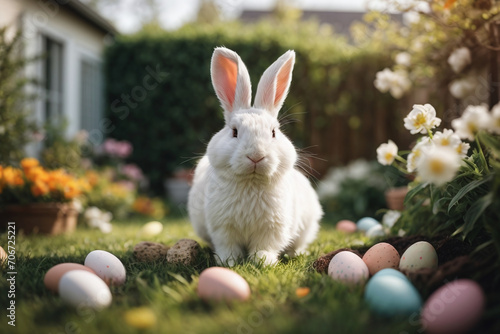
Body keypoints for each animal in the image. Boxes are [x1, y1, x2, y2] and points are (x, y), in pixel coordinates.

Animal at [188, 47, 324, 266]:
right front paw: (228, 263)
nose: (256, 156)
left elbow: (265, 246)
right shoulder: (223, 229)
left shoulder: (272, 228)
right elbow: (228, 247)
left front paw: (263, 261)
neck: (251, 182)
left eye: (274, 132)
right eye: (234, 132)